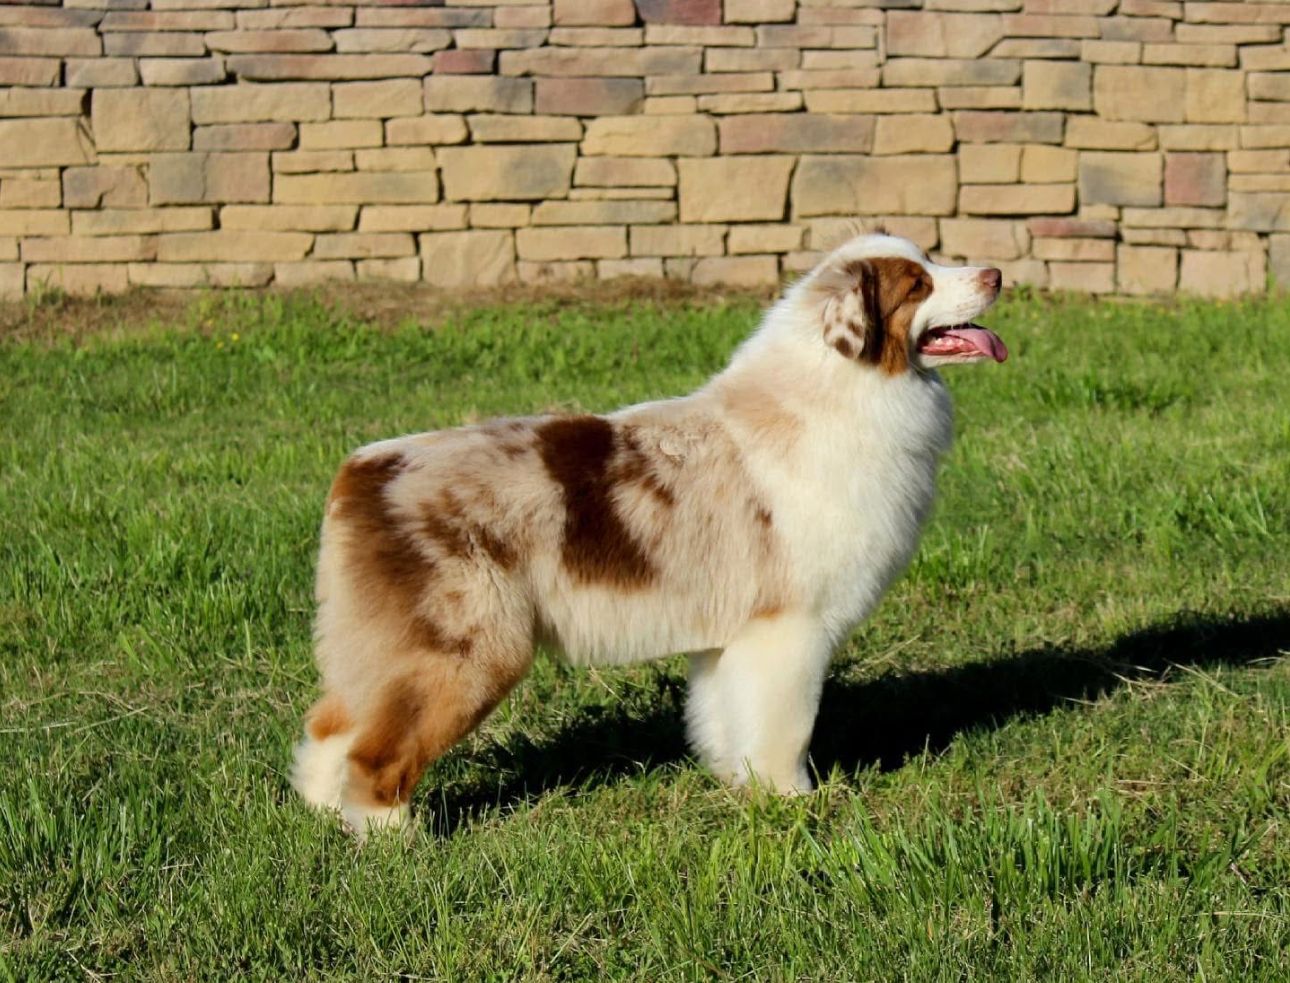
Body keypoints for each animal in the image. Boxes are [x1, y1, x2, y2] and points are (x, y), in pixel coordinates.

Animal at [290, 230, 1008, 836]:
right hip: (468, 648)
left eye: (931, 259)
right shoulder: (791, 628)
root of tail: (363, 469)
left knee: (331, 727)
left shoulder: (733, 637)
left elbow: (727, 720)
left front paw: (741, 787)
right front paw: (794, 803)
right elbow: (786, 726)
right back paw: (394, 841)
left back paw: (325, 816)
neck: (842, 390)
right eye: (917, 283)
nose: (997, 272)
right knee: (378, 752)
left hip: (382, 647)